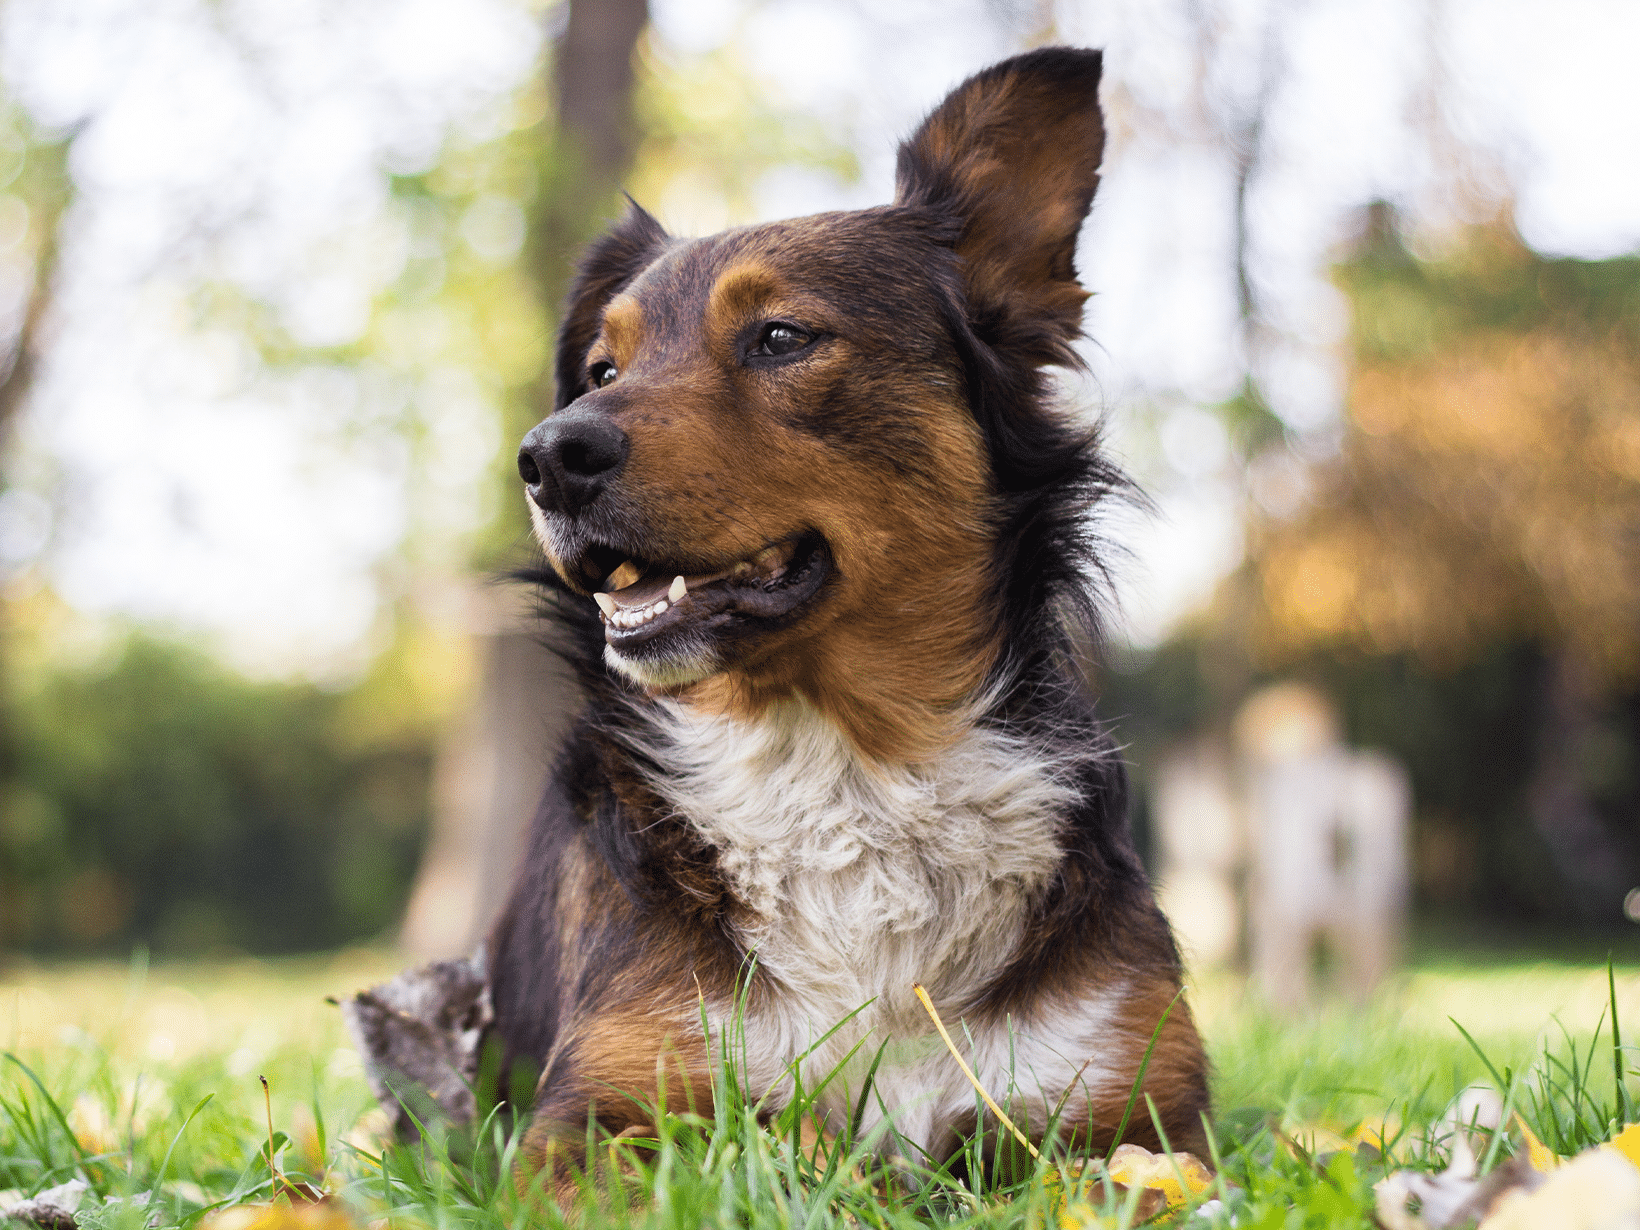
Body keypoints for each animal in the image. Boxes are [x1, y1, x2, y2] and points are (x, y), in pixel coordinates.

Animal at [485, 48, 1207, 1193]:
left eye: (781, 337)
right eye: (602, 370)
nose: (548, 456)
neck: (845, 768)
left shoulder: (1140, 1114)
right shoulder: (596, 1116)